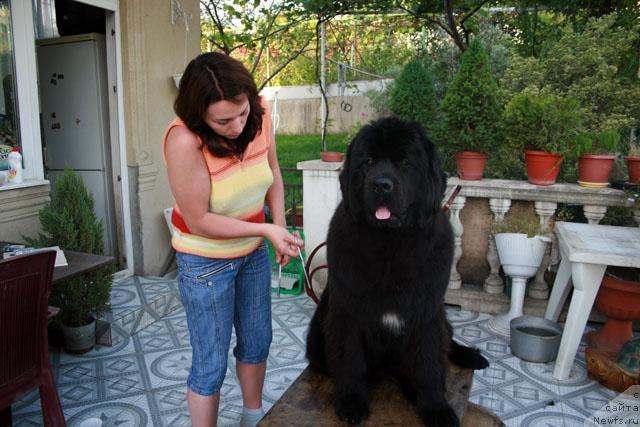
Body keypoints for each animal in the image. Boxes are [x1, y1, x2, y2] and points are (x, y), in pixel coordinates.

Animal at [308, 116, 488, 424]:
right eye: (368, 162)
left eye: (405, 162)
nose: (382, 185)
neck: (391, 247)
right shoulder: (348, 312)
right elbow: (351, 360)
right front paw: (352, 402)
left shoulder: (426, 313)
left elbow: (429, 365)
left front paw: (436, 409)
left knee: (448, 341)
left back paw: (470, 357)